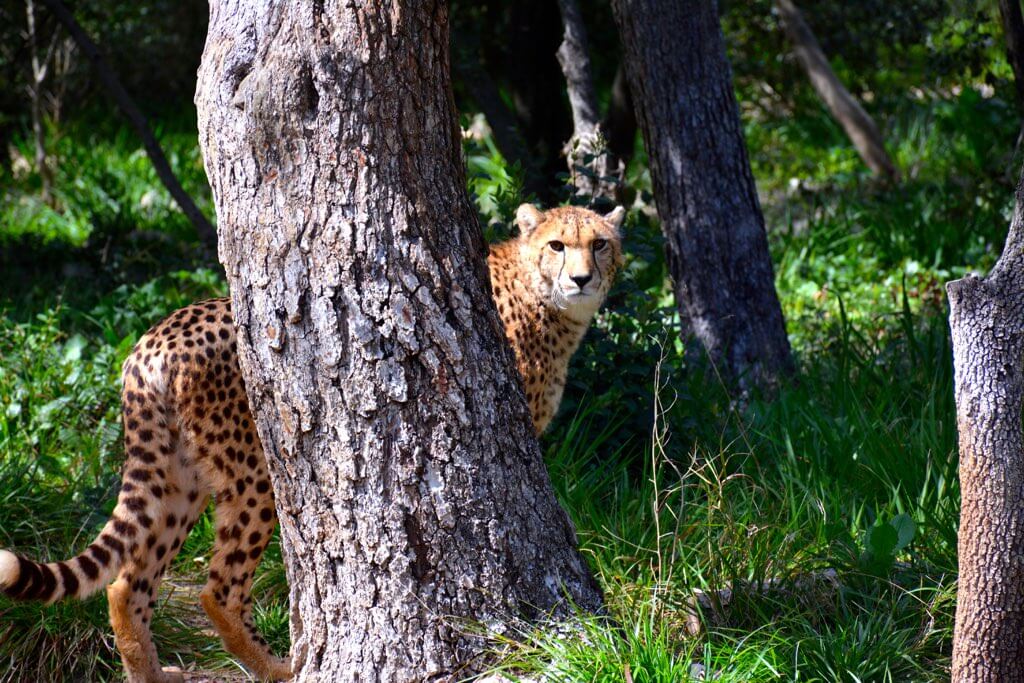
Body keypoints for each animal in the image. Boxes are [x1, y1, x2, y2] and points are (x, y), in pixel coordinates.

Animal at [0, 200, 622, 679]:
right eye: (558, 245)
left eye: (601, 245)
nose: (582, 278)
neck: (543, 300)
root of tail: (155, 339)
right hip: (254, 472)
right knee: (217, 589)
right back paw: (279, 667)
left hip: (178, 477)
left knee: (126, 585)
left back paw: (151, 675)